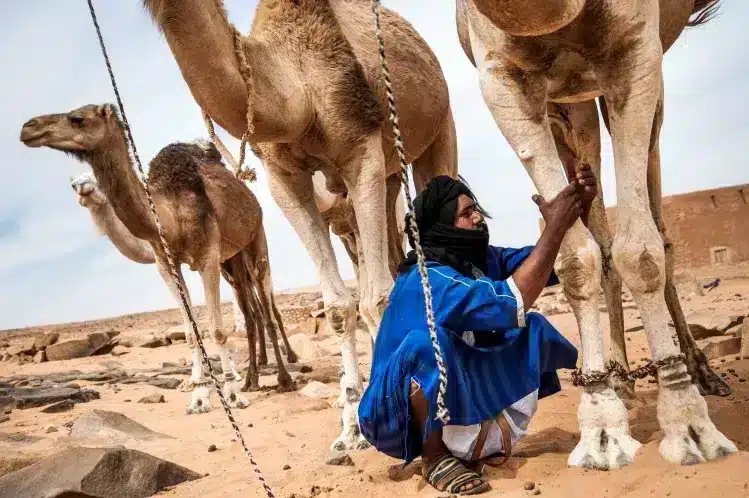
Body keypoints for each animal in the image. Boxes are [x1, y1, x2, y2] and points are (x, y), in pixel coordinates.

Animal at [69, 171, 292, 378]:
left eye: (93, 179)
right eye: (72, 184)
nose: (83, 186)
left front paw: (231, 374)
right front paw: (200, 377)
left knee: (271, 310)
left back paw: (289, 357)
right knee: (257, 312)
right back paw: (262, 361)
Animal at [140, 0, 456, 452]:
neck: (294, 86)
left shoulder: (361, 146)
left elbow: (377, 298)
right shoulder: (282, 176)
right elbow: (340, 306)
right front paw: (351, 429)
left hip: (439, 124)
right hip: (392, 175)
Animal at [456, 0, 736, 466]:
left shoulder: (636, 51)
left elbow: (642, 253)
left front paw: (689, 425)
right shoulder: (503, 77)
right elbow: (576, 259)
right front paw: (602, 426)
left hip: (644, 91)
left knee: (660, 230)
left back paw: (700, 371)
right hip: (577, 101)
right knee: (602, 234)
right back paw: (620, 378)